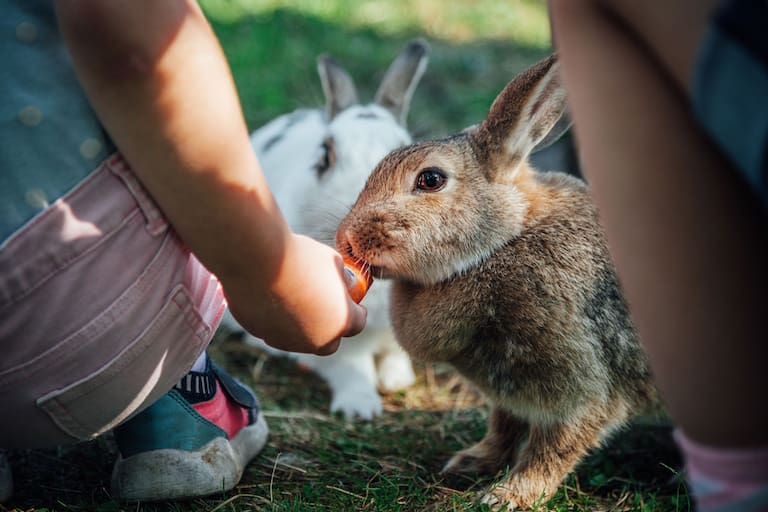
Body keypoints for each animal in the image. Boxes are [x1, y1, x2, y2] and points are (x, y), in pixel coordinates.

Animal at [334, 54, 660, 510]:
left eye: (430, 179)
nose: (346, 238)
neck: (500, 245)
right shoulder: (509, 391)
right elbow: (504, 425)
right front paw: (471, 462)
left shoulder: (582, 380)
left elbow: (557, 443)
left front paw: (509, 495)